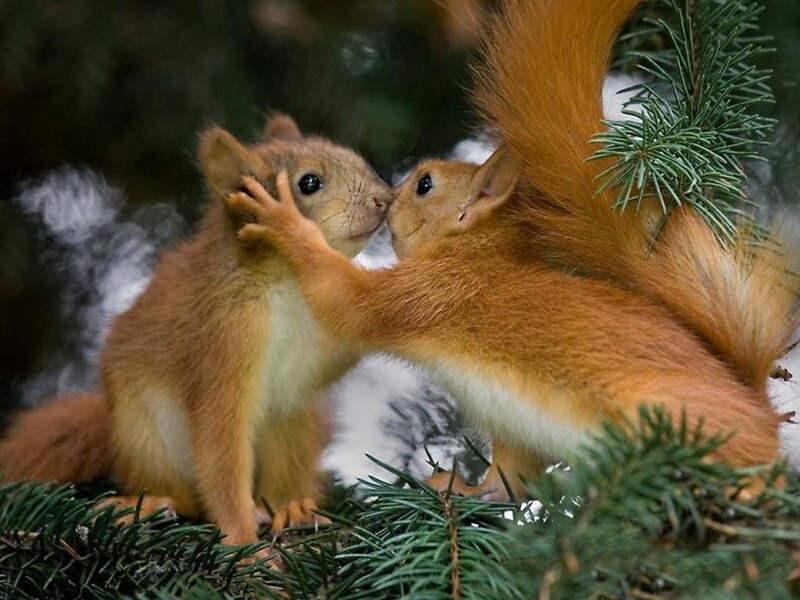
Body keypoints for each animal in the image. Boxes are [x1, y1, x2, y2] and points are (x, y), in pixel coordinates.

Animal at [0, 114, 391, 551]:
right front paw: (244, 545)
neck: (289, 284)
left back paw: (291, 507)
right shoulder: (222, 342)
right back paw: (153, 503)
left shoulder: (309, 360)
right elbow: (221, 451)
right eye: (309, 183)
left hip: (295, 420)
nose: (386, 198)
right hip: (146, 434)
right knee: (187, 495)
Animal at [224, 0, 798, 499]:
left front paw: (285, 222)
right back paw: (460, 489)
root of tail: (755, 405)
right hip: (519, 430)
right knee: (509, 481)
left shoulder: (428, 294)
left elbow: (348, 302)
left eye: (425, 185)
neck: (475, 253)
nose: (386, 198)